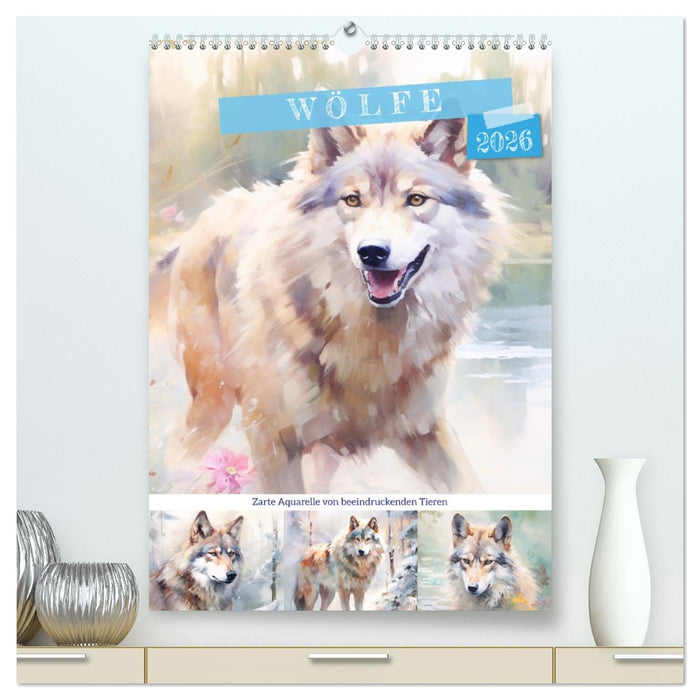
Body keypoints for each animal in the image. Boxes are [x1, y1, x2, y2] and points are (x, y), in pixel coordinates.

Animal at [152, 117, 507, 493]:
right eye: (352, 199)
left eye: (416, 199)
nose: (372, 252)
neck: (370, 344)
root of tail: (199, 225)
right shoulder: (271, 438)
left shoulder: (423, 428)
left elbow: (469, 487)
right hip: (213, 403)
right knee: (179, 453)